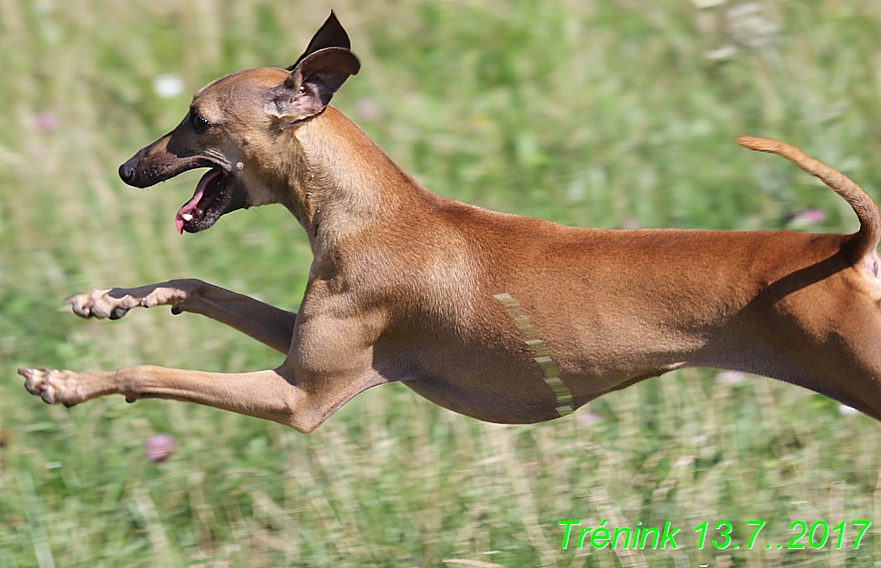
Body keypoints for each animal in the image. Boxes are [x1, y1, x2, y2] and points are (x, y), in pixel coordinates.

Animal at [17, 13, 880, 430]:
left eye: (195, 121)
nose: (127, 169)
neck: (373, 212)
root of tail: (847, 249)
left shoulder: (299, 397)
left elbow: (148, 372)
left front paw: (63, 383)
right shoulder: (301, 345)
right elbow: (197, 283)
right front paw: (107, 300)